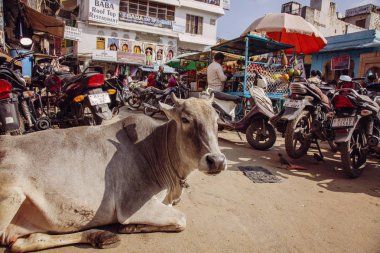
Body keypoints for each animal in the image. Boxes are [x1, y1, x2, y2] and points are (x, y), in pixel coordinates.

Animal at [0, 95, 226, 253]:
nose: (217, 160)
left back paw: (99, 236)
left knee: (22, 243)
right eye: (186, 119)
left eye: (216, 120)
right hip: (12, 196)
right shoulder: (133, 204)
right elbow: (181, 219)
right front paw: (132, 227)